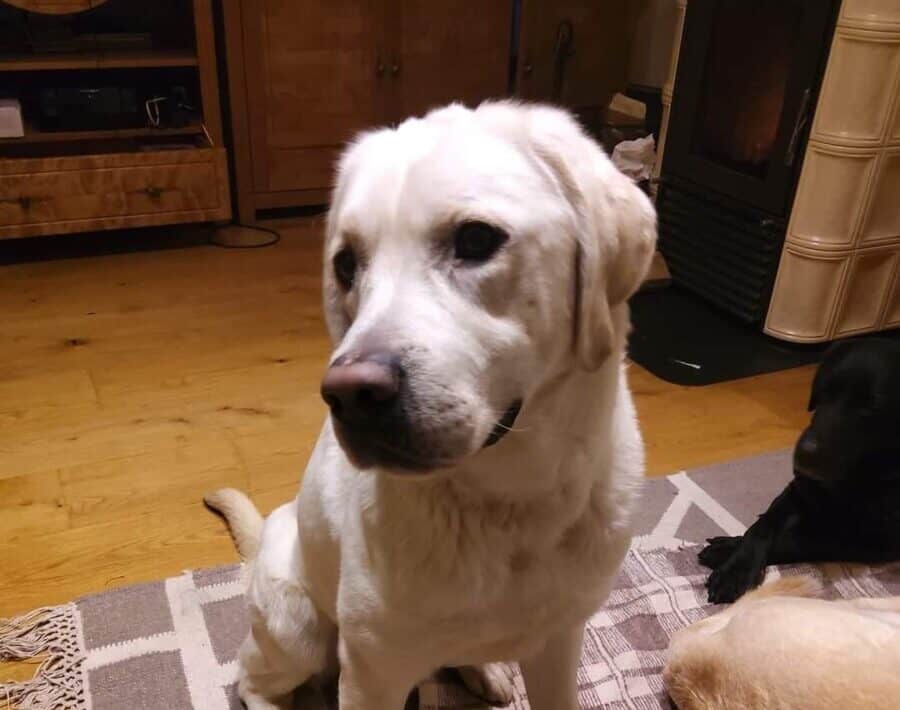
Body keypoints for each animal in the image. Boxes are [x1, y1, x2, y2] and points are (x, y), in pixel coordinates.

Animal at [204, 101, 657, 709]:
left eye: (476, 239)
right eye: (346, 265)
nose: (349, 395)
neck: (509, 506)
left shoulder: (560, 642)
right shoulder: (371, 673)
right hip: (295, 627)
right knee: (252, 678)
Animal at [700, 337, 900, 604]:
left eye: (870, 407)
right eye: (823, 392)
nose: (803, 455)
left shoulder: (875, 541)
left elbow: (797, 541)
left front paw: (724, 552)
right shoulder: (796, 489)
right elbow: (761, 526)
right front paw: (737, 563)